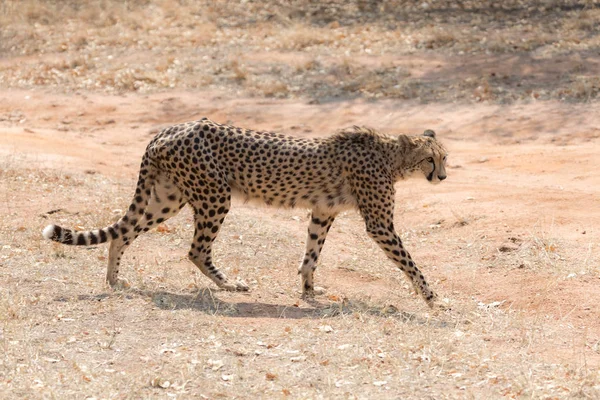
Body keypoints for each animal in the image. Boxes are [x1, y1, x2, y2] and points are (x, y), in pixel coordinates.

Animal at [44, 117, 448, 308]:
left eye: (445, 158)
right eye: (432, 159)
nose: (443, 177)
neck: (392, 156)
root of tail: (169, 129)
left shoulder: (322, 210)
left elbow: (311, 254)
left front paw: (308, 290)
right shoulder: (379, 224)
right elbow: (410, 263)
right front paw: (432, 300)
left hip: (168, 198)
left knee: (124, 233)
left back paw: (114, 280)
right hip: (214, 195)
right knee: (196, 250)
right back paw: (229, 285)